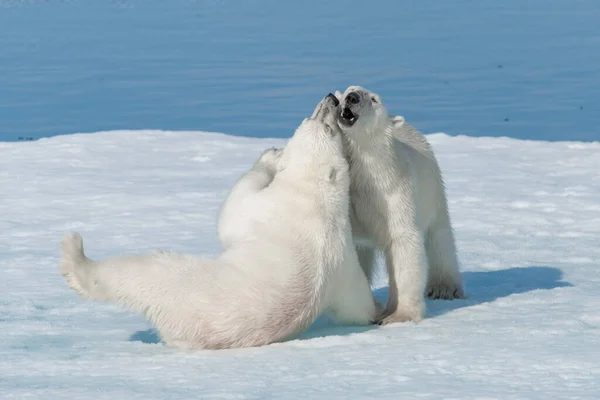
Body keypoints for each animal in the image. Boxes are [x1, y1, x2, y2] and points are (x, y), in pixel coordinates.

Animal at [61, 94, 380, 350]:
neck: (317, 196)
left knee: (135, 270)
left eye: (327, 128)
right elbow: (356, 304)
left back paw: (74, 253)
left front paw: (270, 157)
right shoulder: (343, 261)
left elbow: (233, 212)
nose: (332, 99)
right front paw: (377, 310)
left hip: (177, 283)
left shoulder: (270, 207)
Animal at [332, 86, 464, 324]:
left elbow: (403, 241)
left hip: (432, 191)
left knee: (439, 237)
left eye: (374, 99)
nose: (352, 98)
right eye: (347, 90)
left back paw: (445, 287)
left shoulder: (392, 192)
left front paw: (398, 315)